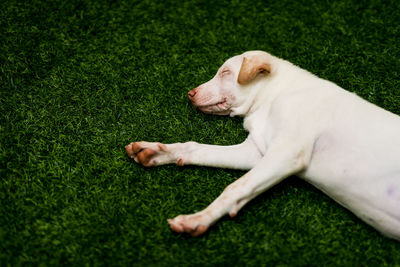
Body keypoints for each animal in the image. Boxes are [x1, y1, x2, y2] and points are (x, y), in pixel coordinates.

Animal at [125, 50, 400, 239]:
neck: (275, 96)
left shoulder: (287, 153)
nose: (190, 94)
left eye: (225, 72)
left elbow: (234, 188)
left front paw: (199, 219)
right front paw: (158, 151)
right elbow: (198, 148)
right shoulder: (256, 152)